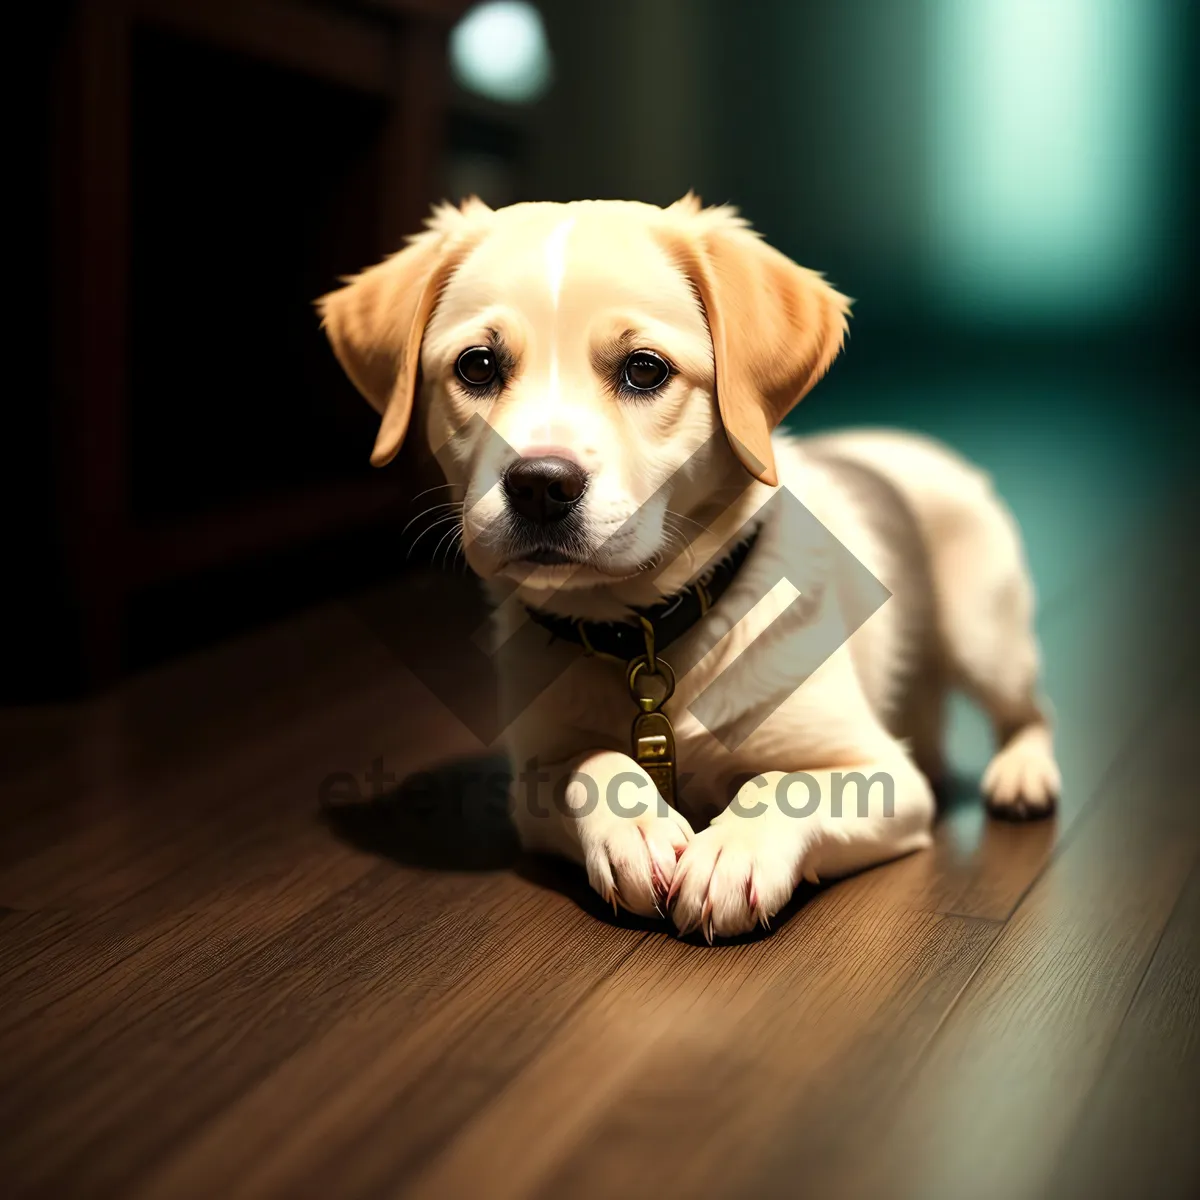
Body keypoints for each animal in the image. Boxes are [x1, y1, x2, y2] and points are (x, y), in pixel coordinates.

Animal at [319, 196, 1060, 940]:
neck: (644, 634)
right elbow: (590, 764)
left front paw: (736, 850)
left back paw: (1023, 774)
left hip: (985, 636)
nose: (539, 485)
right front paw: (635, 826)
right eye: (477, 367)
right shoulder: (534, 776)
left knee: (1029, 711)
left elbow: (782, 782)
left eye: (645, 370)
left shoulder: (883, 774)